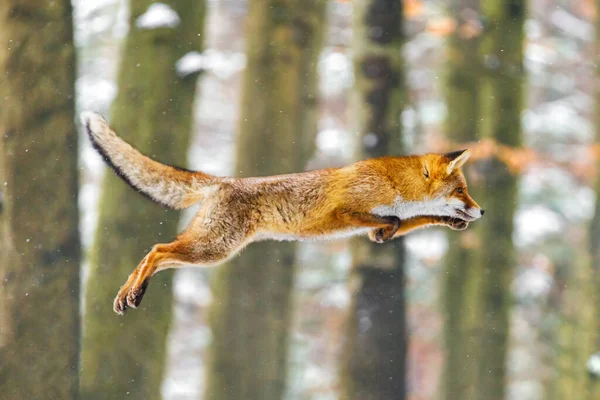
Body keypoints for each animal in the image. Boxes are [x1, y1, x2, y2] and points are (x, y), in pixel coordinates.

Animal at [81, 111, 482, 314]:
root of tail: (223, 181)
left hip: (210, 251)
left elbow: (414, 219)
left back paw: (127, 295)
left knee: (159, 254)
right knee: (157, 250)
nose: (481, 211)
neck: (394, 184)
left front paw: (448, 221)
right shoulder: (341, 212)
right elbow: (395, 219)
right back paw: (133, 293)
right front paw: (390, 229)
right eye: (462, 190)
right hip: (212, 249)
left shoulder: (378, 219)